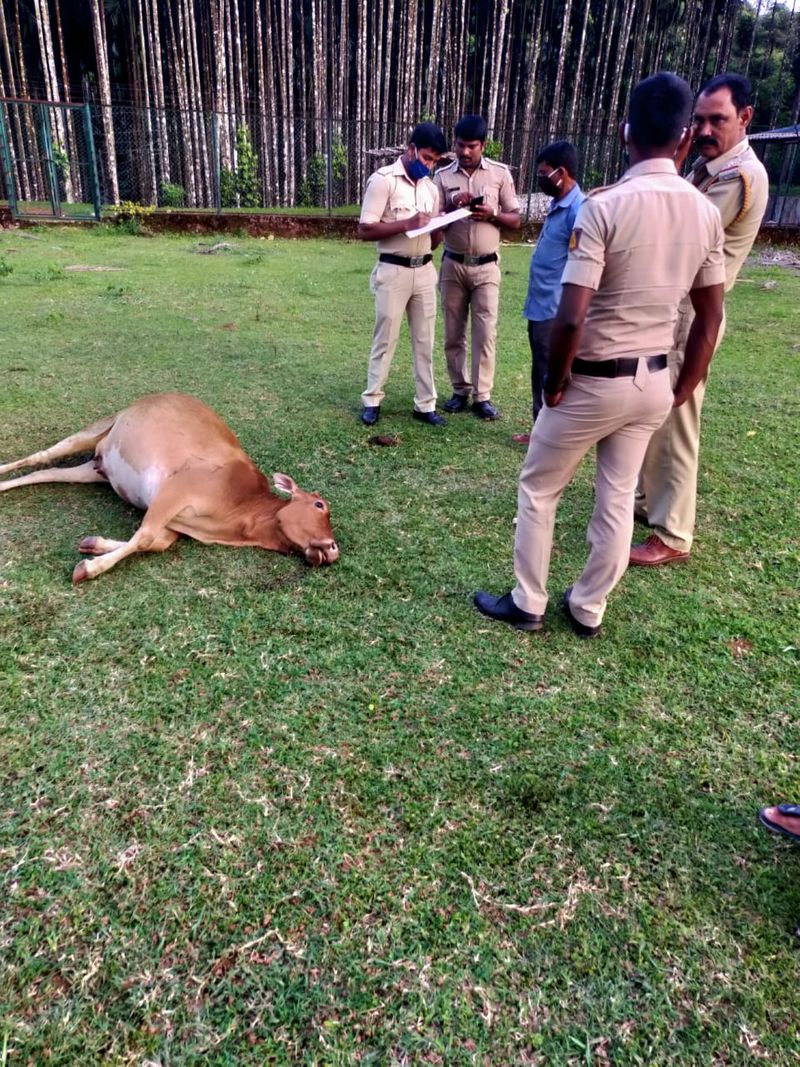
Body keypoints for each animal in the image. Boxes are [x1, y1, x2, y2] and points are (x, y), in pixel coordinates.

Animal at [0, 392, 339, 584]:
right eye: (320, 505)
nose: (334, 548)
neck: (241, 514)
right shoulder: (177, 488)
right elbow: (146, 536)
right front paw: (90, 568)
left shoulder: (178, 522)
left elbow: (156, 542)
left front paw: (94, 544)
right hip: (97, 429)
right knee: (41, 456)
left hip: (96, 469)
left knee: (47, 471)